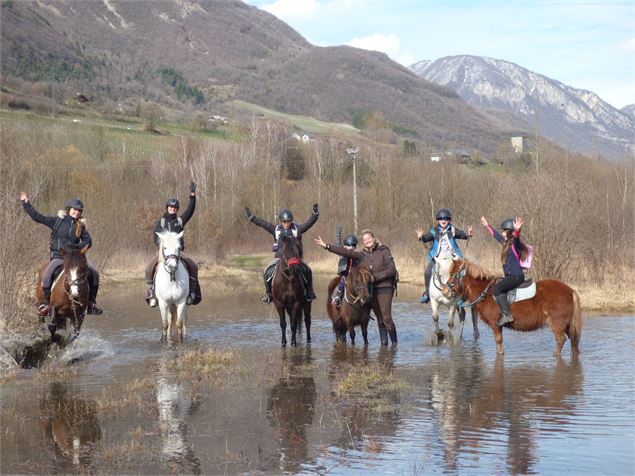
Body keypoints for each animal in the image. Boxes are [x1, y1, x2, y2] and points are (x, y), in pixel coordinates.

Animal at [444, 258, 584, 356]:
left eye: (452, 274)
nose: (445, 290)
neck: (486, 292)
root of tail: (570, 290)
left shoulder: (495, 324)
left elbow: (499, 343)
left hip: (557, 324)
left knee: (561, 340)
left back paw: (556, 355)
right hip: (567, 325)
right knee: (573, 340)